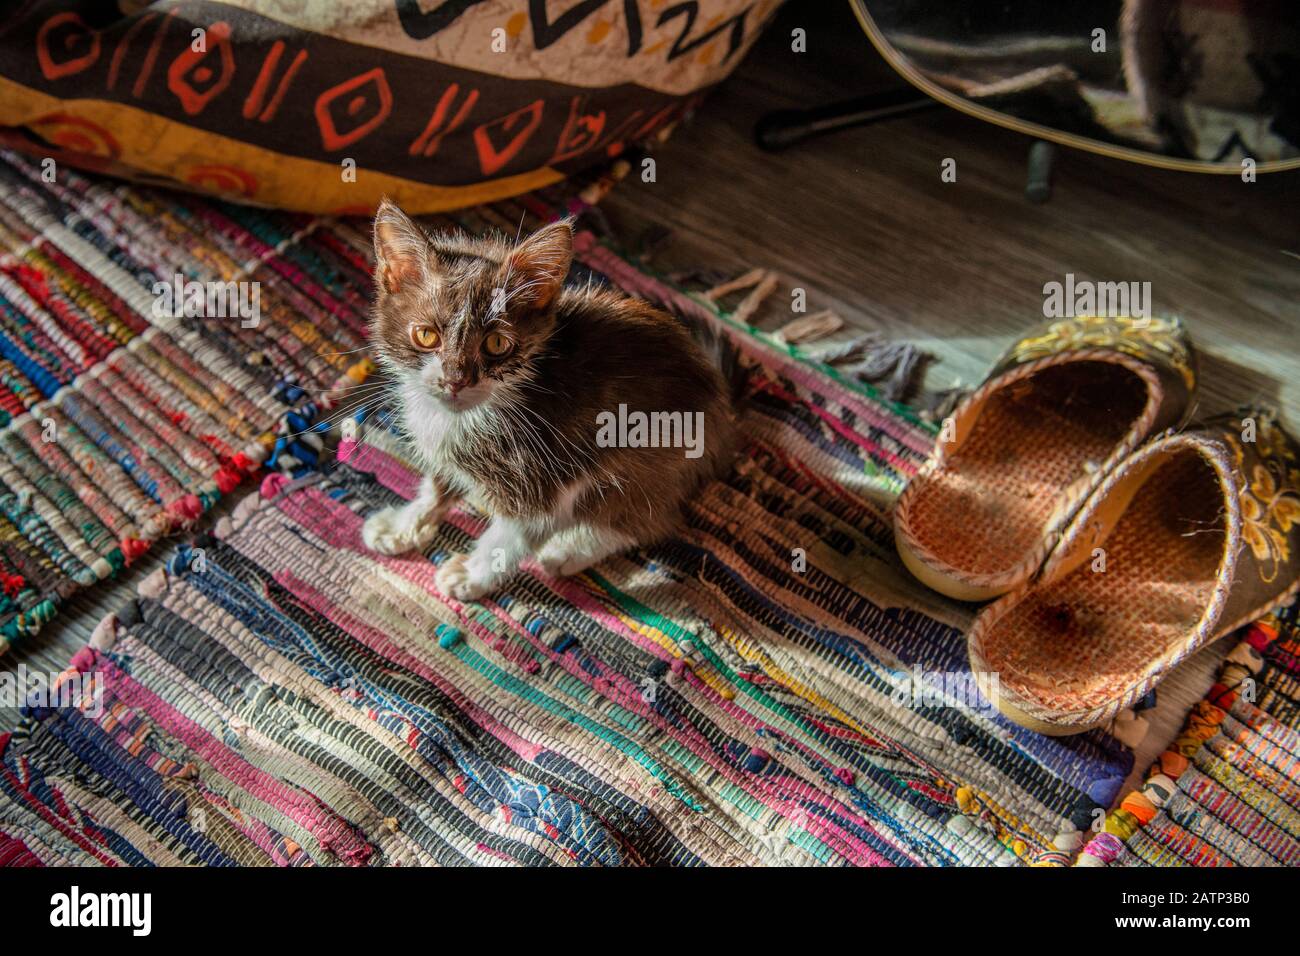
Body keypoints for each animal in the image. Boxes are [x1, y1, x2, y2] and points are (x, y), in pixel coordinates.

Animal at [361, 199, 743, 600]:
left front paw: (474, 574)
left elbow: (516, 532)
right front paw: (405, 524)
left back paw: (569, 551)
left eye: (496, 344)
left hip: (648, 452)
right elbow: (436, 485)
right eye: (426, 335)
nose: (454, 381)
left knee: (648, 519)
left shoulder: (548, 468)